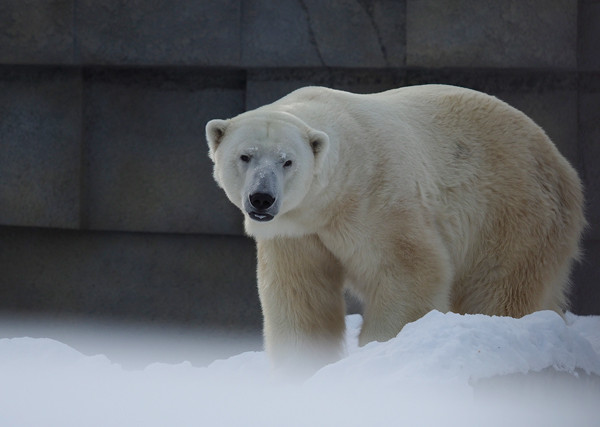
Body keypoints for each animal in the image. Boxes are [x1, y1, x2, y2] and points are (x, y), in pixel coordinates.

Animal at [207, 84, 584, 374]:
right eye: (245, 156)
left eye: (287, 161)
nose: (262, 198)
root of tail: (561, 164)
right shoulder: (298, 233)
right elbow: (301, 296)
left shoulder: (378, 201)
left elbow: (411, 273)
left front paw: (380, 351)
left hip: (512, 212)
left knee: (500, 288)